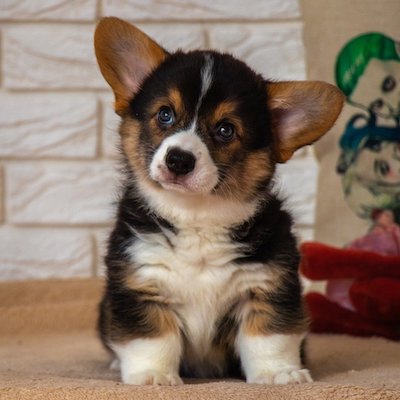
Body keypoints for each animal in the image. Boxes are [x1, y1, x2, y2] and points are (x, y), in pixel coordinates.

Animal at [94, 17, 344, 386]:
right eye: (165, 115)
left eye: (226, 130)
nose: (179, 160)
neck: (197, 217)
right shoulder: (141, 285)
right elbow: (153, 339)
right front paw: (153, 376)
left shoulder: (267, 287)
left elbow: (268, 338)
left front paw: (279, 374)